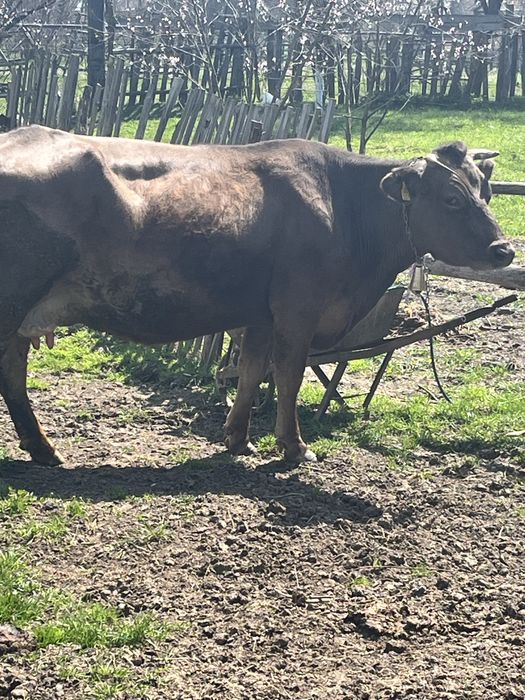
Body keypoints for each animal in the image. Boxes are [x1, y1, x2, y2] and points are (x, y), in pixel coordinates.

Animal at [0, 126, 514, 465]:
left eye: (486, 191)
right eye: (451, 198)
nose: (504, 249)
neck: (343, 206)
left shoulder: (261, 316)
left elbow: (249, 373)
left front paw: (237, 438)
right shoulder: (298, 310)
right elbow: (288, 377)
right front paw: (294, 447)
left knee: (13, 375)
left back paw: (43, 449)